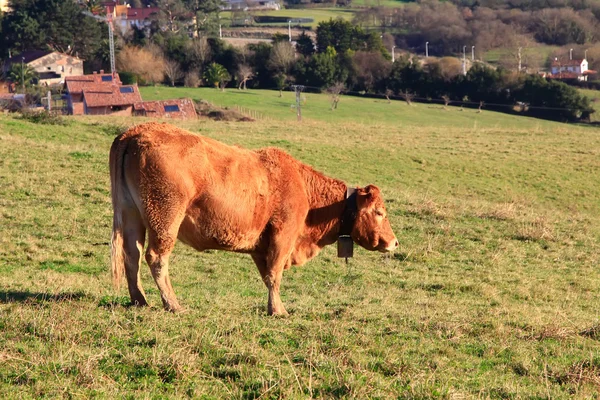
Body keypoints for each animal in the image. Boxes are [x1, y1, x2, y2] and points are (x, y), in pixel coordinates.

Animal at [110, 122, 398, 316]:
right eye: (380, 212)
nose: (394, 242)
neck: (303, 187)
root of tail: (135, 131)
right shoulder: (283, 237)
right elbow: (275, 275)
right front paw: (278, 310)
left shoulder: (262, 246)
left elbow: (267, 275)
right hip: (165, 219)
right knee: (156, 258)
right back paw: (173, 304)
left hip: (131, 215)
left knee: (132, 255)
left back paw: (139, 300)